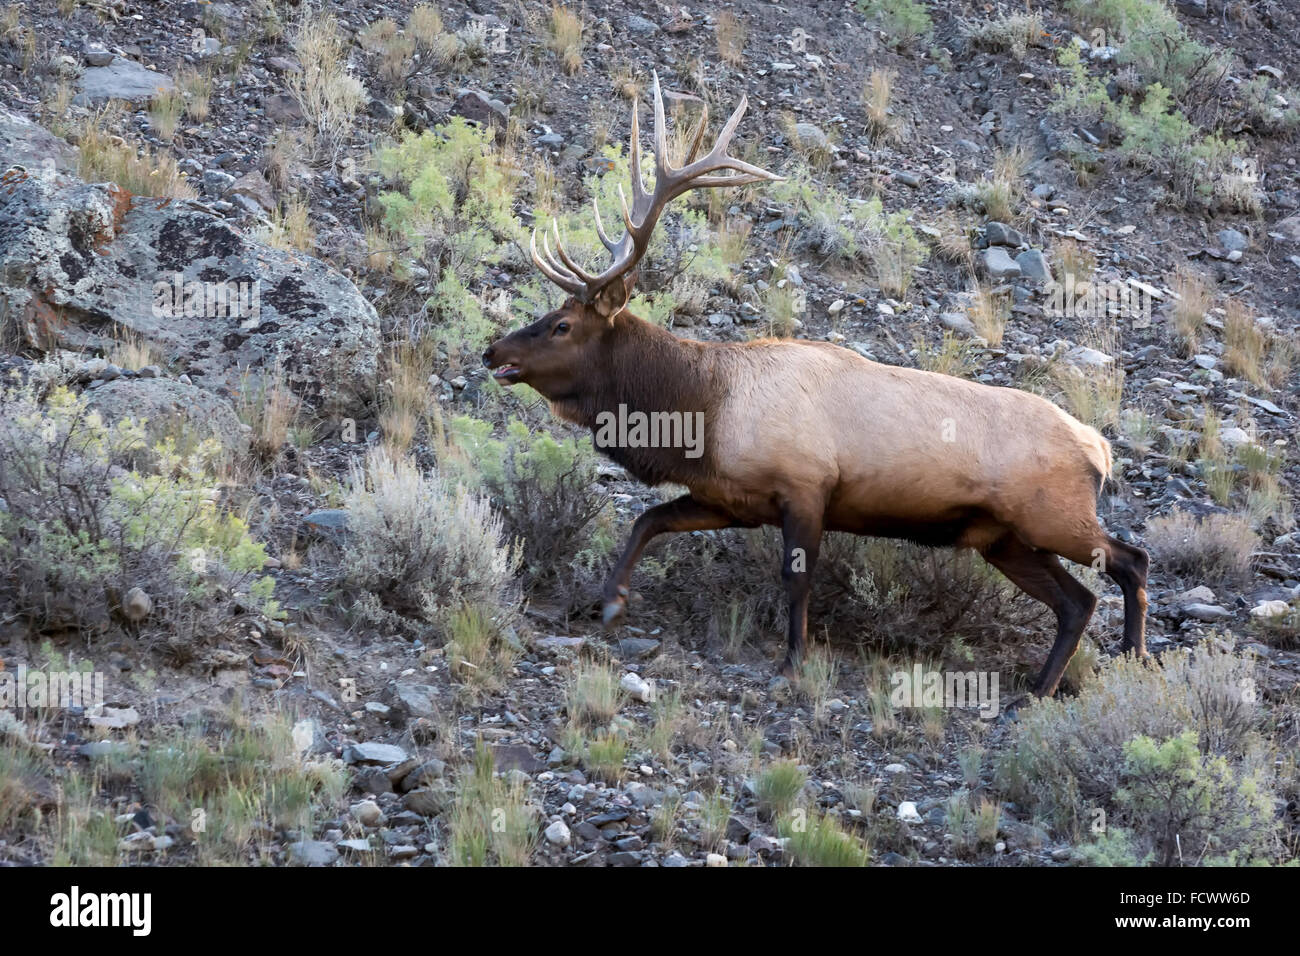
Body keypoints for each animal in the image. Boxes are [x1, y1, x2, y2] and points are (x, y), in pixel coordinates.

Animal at [482, 73, 1149, 699]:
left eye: (562, 325)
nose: (494, 351)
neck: (701, 412)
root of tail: (1100, 448)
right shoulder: (728, 499)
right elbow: (648, 520)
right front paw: (611, 600)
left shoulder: (806, 486)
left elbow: (796, 577)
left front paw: (792, 662)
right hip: (1002, 537)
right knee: (1077, 601)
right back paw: (1038, 689)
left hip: (1052, 516)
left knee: (1129, 561)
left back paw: (1133, 657)